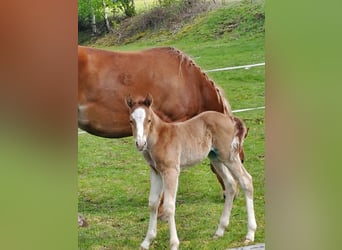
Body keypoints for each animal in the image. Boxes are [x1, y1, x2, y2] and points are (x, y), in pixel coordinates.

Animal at [125, 94, 256, 250]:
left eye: (149, 120)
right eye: (131, 121)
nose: (140, 143)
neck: (160, 138)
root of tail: (230, 119)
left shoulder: (171, 171)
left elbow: (169, 206)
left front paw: (174, 244)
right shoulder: (155, 172)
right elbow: (152, 203)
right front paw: (147, 241)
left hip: (229, 156)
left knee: (246, 180)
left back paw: (250, 234)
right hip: (215, 158)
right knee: (230, 184)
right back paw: (220, 230)